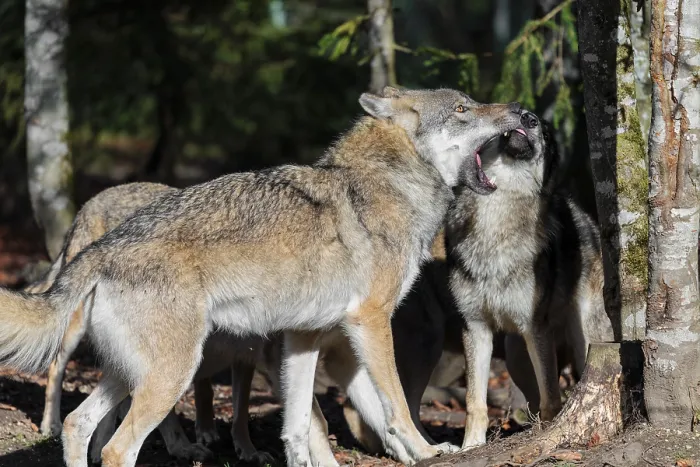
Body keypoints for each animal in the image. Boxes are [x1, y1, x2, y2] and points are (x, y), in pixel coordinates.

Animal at [0, 87, 525, 467]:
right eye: (463, 108)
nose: (523, 111)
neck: (389, 187)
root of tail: (101, 248)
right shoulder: (371, 323)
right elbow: (394, 404)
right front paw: (427, 451)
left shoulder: (304, 339)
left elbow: (306, 425)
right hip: (169, 375)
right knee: (113, 446)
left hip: (132, 375)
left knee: (79, 426)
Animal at [445, 111, 614, 450]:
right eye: (517, 114)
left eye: (546, 133)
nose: (528, 117)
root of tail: (586, 220)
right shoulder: (475, 328)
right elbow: (475, 401)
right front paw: (471, 445)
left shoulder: (535, 328)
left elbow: (552, 394)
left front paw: (549, 434)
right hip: (515, 353)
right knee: (532, 398)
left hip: (584, 342)